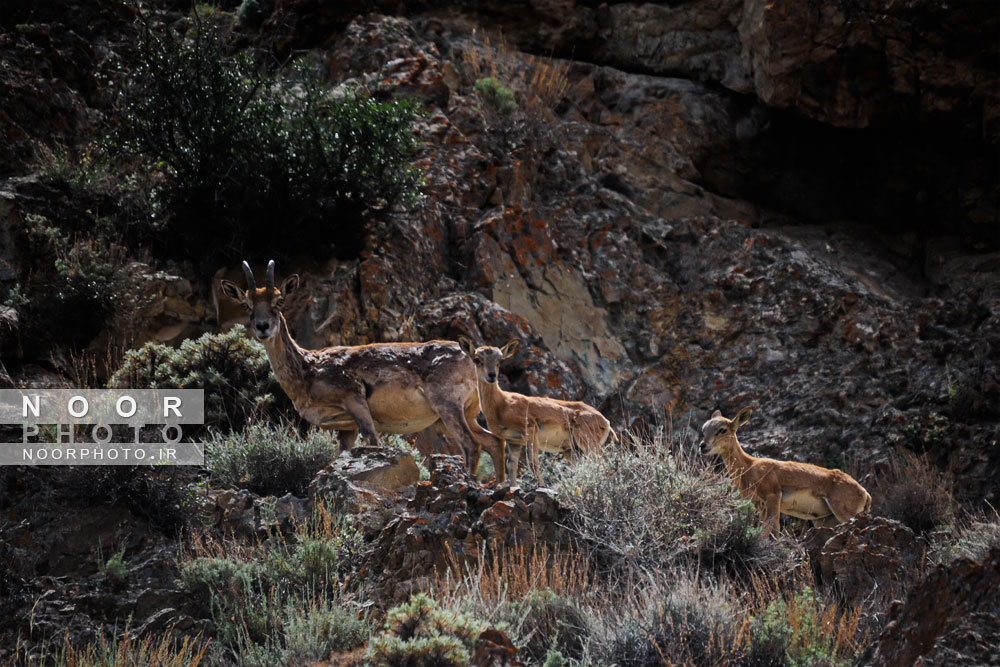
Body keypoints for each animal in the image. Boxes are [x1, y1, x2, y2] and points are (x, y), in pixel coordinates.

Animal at [458, 340, 612, 486]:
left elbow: (533, 463)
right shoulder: (514, 441)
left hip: (587, 442)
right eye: (477, 359)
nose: (491, 376)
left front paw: (541, 486)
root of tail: (605, 422)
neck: (502, 404)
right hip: (571, 450)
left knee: (601, 462)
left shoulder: (530, 430)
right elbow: (511, 465)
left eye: (500, 360)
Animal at [704, 408, 868, 536]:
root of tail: (865, 493)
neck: (749, 466)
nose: (702, 446)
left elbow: (774, 529)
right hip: (825, 520)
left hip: (844, 514)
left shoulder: (773, 496)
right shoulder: (760, 505)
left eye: (722, 429)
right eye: (704, 429)